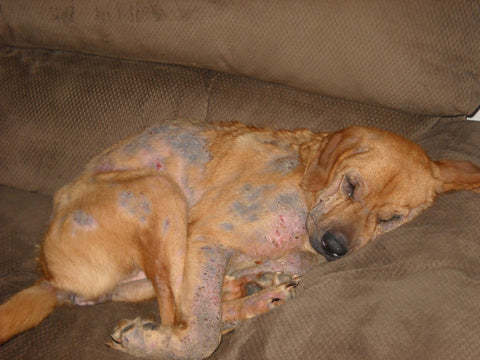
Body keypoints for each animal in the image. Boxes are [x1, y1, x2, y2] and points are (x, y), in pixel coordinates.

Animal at [0, 120, 480, 358]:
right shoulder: (208, 238)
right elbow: (200, 333)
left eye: (391, 218)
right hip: (160, 191)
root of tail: (50, 278)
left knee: (190, 303)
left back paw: (256, 293)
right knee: (184, 313)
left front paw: (264, 279)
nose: (335, 249)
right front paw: (151, 342)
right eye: (351, 186)